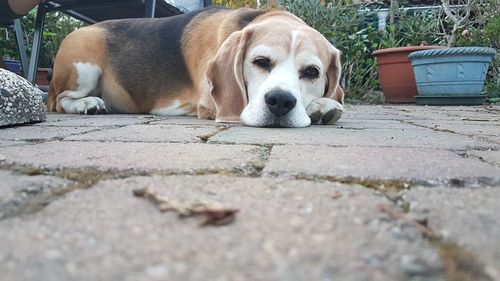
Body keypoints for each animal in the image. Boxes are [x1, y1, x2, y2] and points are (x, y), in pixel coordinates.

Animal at [46, 6, 344, 127]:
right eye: (261, 62)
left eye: (312, 73)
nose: (280, 101)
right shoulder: (209, 103)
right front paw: (319, 106)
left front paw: (322, 105)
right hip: (83, 63)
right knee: (60, 101)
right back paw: (87, 104)